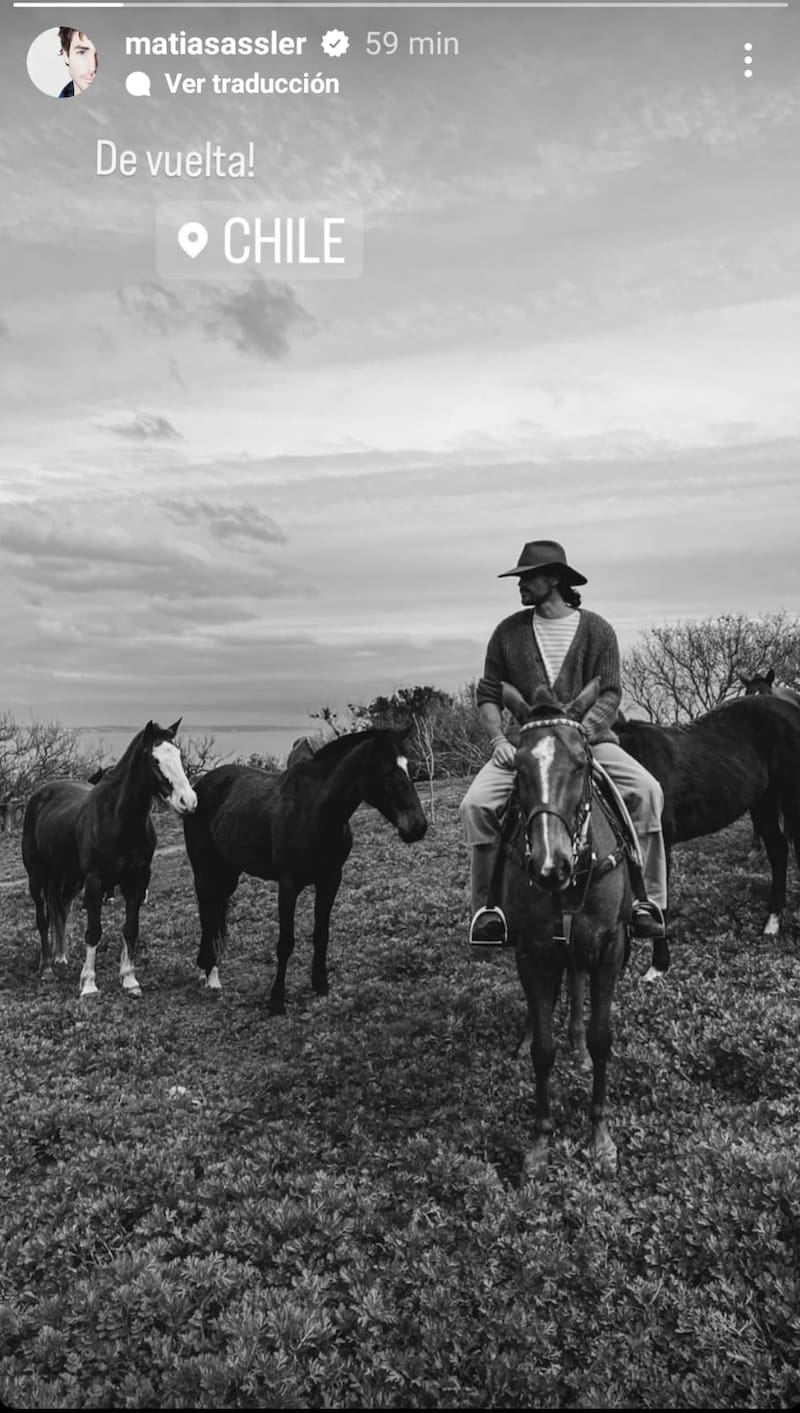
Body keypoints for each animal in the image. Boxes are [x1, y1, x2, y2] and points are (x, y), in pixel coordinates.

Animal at [22, 720, 197, 998]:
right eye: (155, 760)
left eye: (179, 755)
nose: (187, 801)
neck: (118, 819)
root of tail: (41, 794)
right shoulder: (95, 882)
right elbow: (94, 931)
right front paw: (89, 984)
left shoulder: (137, 880)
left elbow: (130, 928)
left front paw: (129, 980)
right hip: (37, 875)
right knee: (42, 917)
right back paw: (47, 968)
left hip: (69, 878)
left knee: (61, 908)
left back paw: (61, 956)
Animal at [183, 726, 428, 1015]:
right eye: (388, 772)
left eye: (409, 767)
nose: (418, 827)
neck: (315, 812)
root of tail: (197, 789)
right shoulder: (288, 885)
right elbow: (285, 943)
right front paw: (277, 1000)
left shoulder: (330, 879)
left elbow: (321, 934)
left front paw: (320, 985)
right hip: (204, 869)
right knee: (207, 913)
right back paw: (209, 973)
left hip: (229, 871)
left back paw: (209, 971)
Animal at [499, 680, 632, 1177]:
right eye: (518, 767)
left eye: (580, 763)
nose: (549, 865)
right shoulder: (532, 952)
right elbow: (543, 1047)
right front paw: (540, 1143)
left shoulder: (611, 947)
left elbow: (601, 1039)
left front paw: (600, 1138)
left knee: (576, 984)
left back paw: (576, 1041)